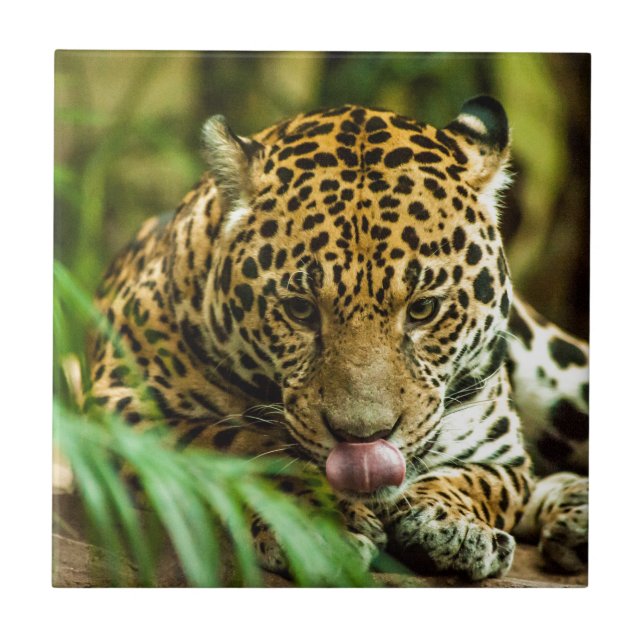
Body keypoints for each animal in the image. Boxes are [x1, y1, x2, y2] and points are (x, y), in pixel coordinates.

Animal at [86, 96, 589, 581]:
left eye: (423, 309)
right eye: (300, 310)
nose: (364, 440)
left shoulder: (502, 454)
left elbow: (482, 481)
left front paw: (456, 528)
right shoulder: (120, 409)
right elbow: (239, 446)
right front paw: (317, 520)